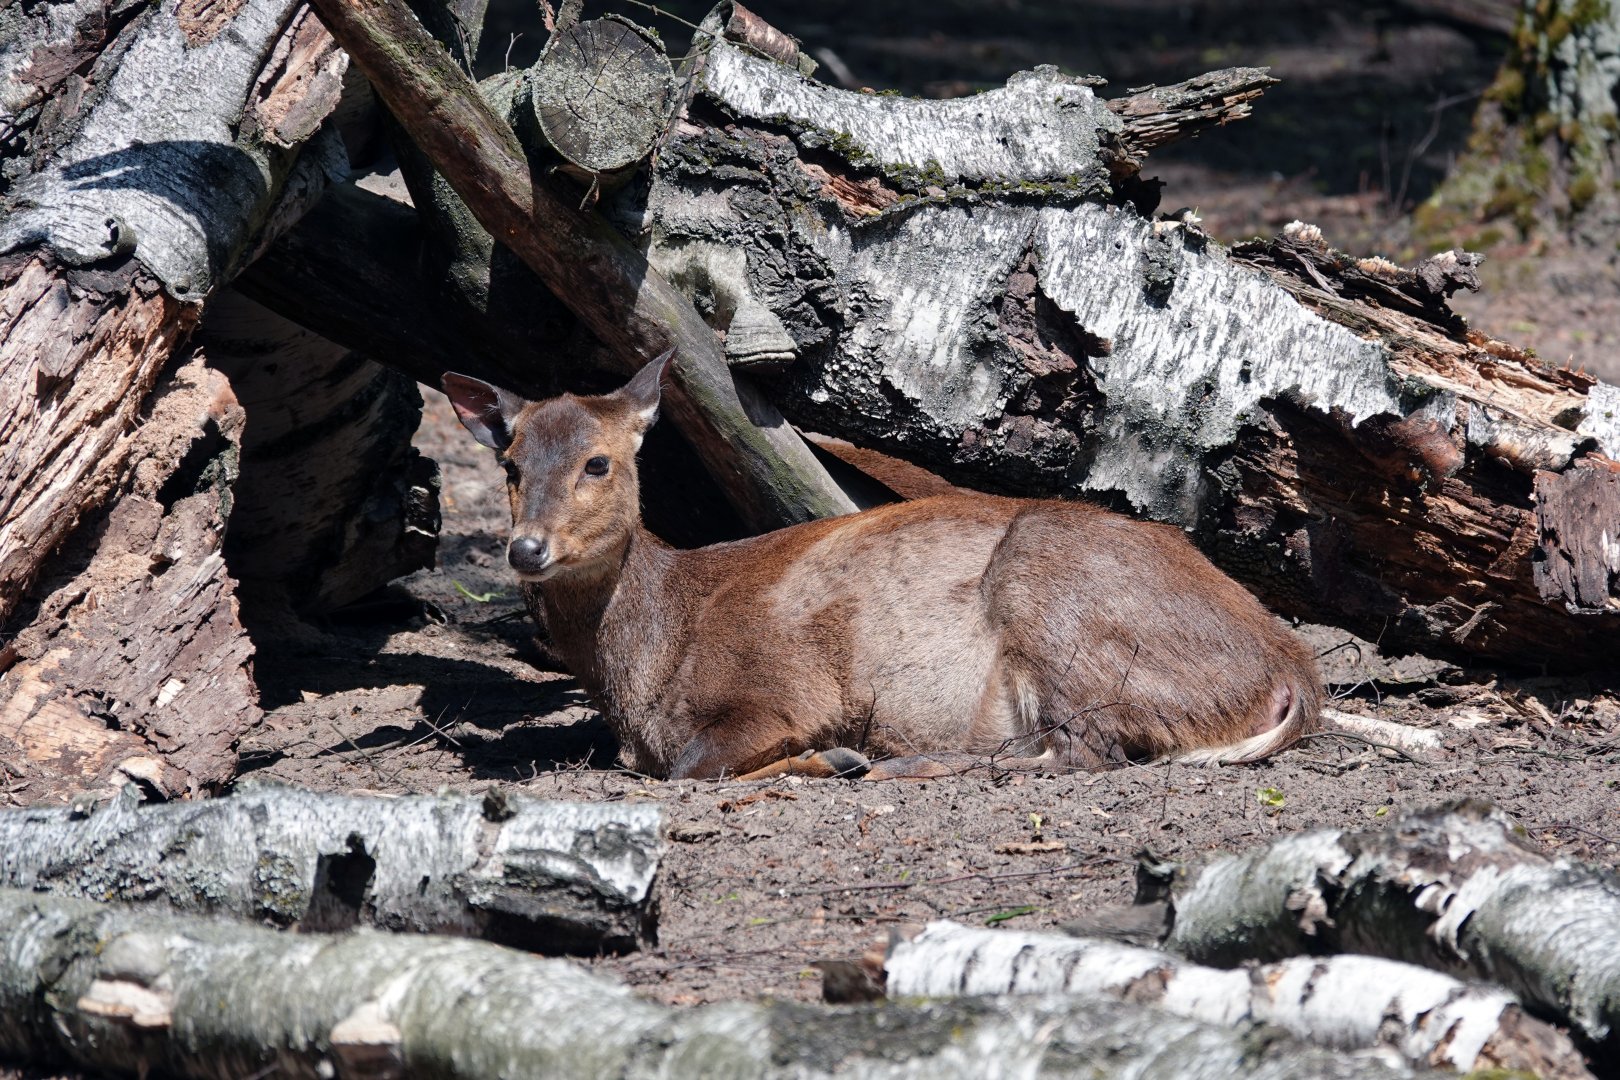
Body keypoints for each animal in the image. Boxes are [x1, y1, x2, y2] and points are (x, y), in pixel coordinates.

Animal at [442, 351, 1321, 781]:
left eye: (598, 462)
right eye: (511, 464)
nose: (526, 549)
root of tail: (1293, 667)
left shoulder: (780, 686)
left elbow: (687, 769)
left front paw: (828, 757)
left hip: (1055, 594)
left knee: (1080, 752)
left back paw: (900, 763)